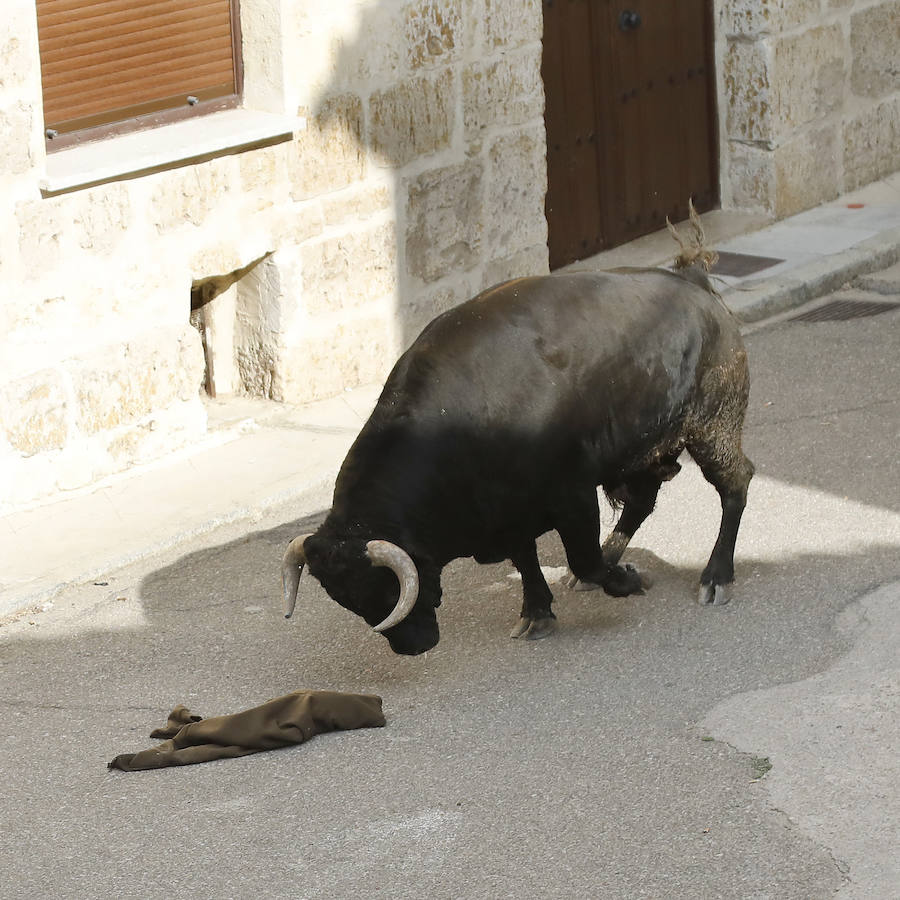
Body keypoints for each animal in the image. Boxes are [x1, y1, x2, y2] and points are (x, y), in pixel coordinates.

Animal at [282, 268, 752, 652]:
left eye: (386, 590)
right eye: (345, 599)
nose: (412, 647)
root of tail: (695, 284)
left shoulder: (572, 497)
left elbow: (581, 557)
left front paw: (628, 580)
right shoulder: (506, 514)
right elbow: (527, 559)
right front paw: (537, 614)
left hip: (712, 428)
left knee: (735, 484)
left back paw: (715, 577)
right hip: (641, 451)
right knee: (641, 501)